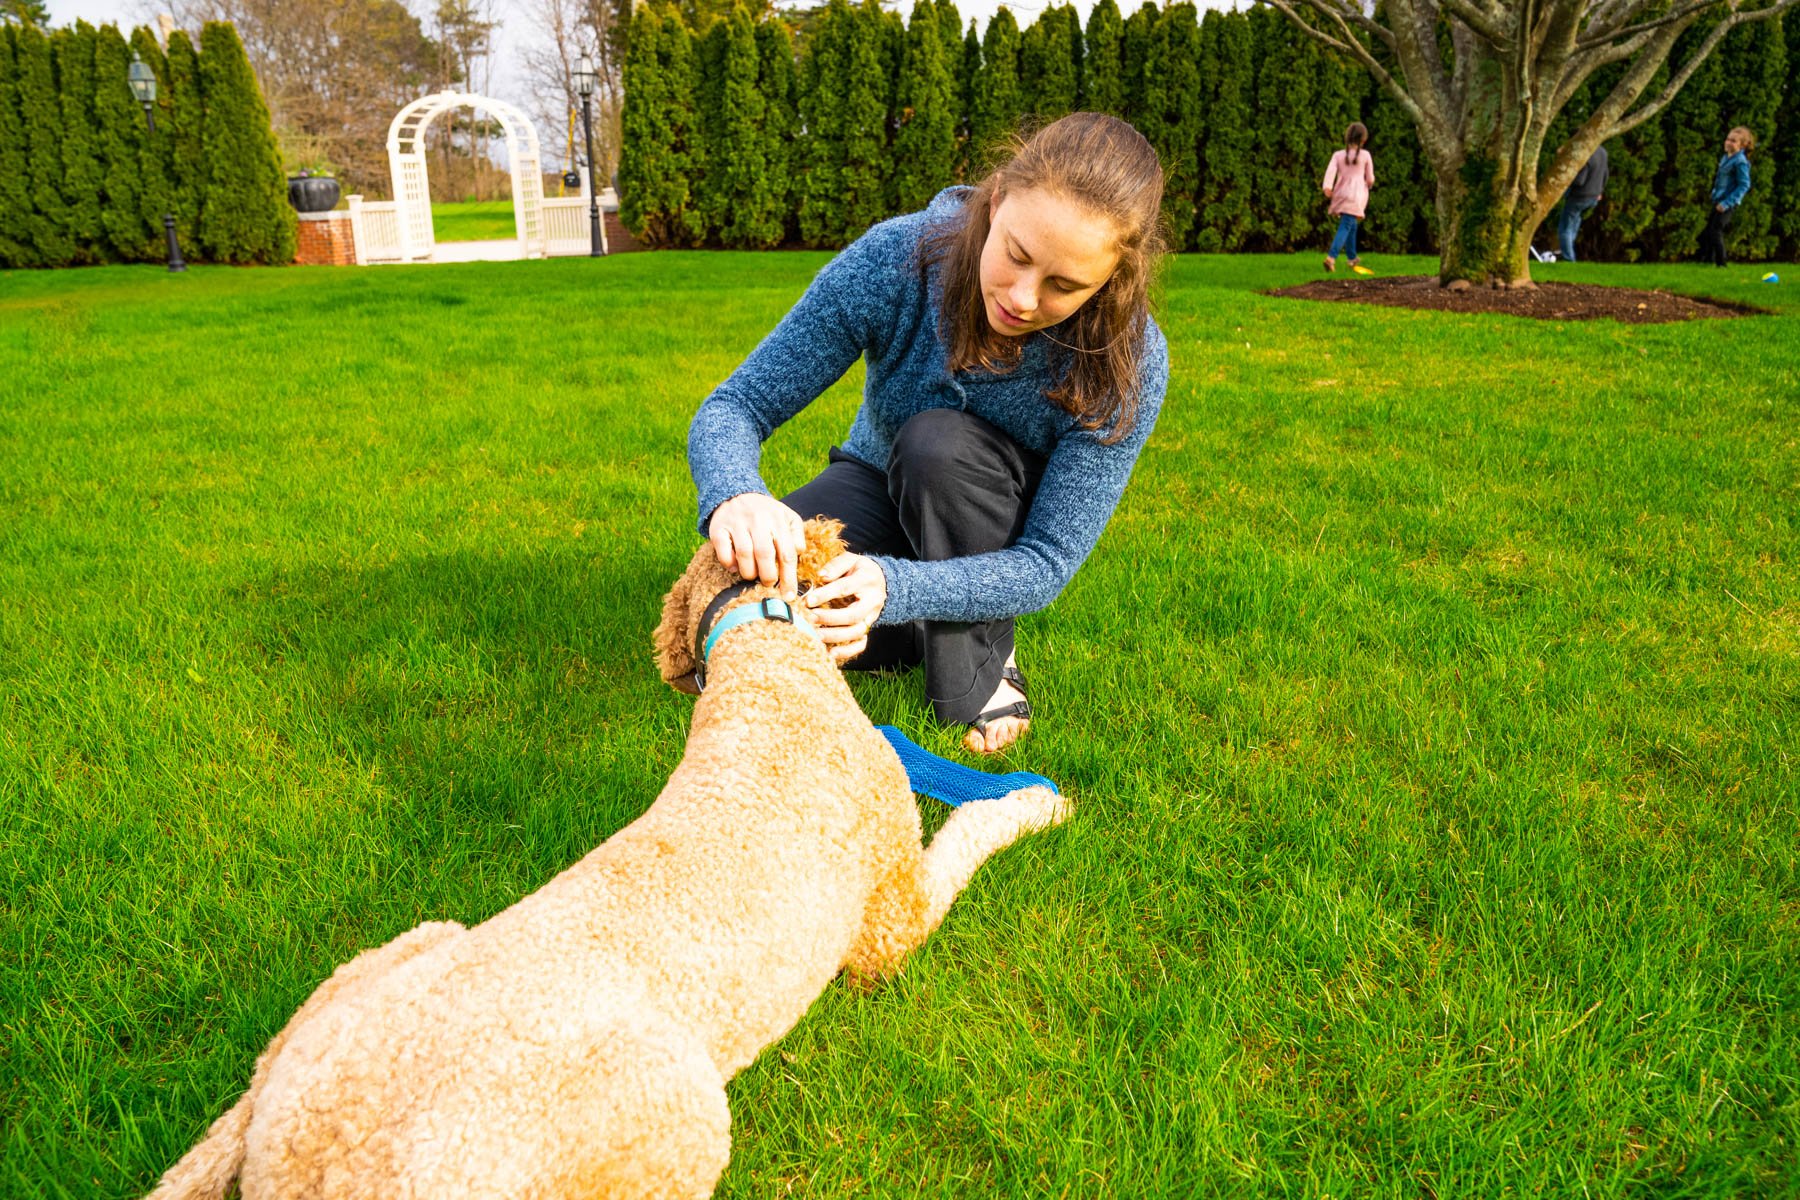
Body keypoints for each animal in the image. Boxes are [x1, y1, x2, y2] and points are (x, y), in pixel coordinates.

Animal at [151, 518, 1065, 1200]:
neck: (767, 673)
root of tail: (292, 1156)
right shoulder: (887, 926)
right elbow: (969, 837)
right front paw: (1035, 804)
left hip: (377, 972)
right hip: (676, 1109)